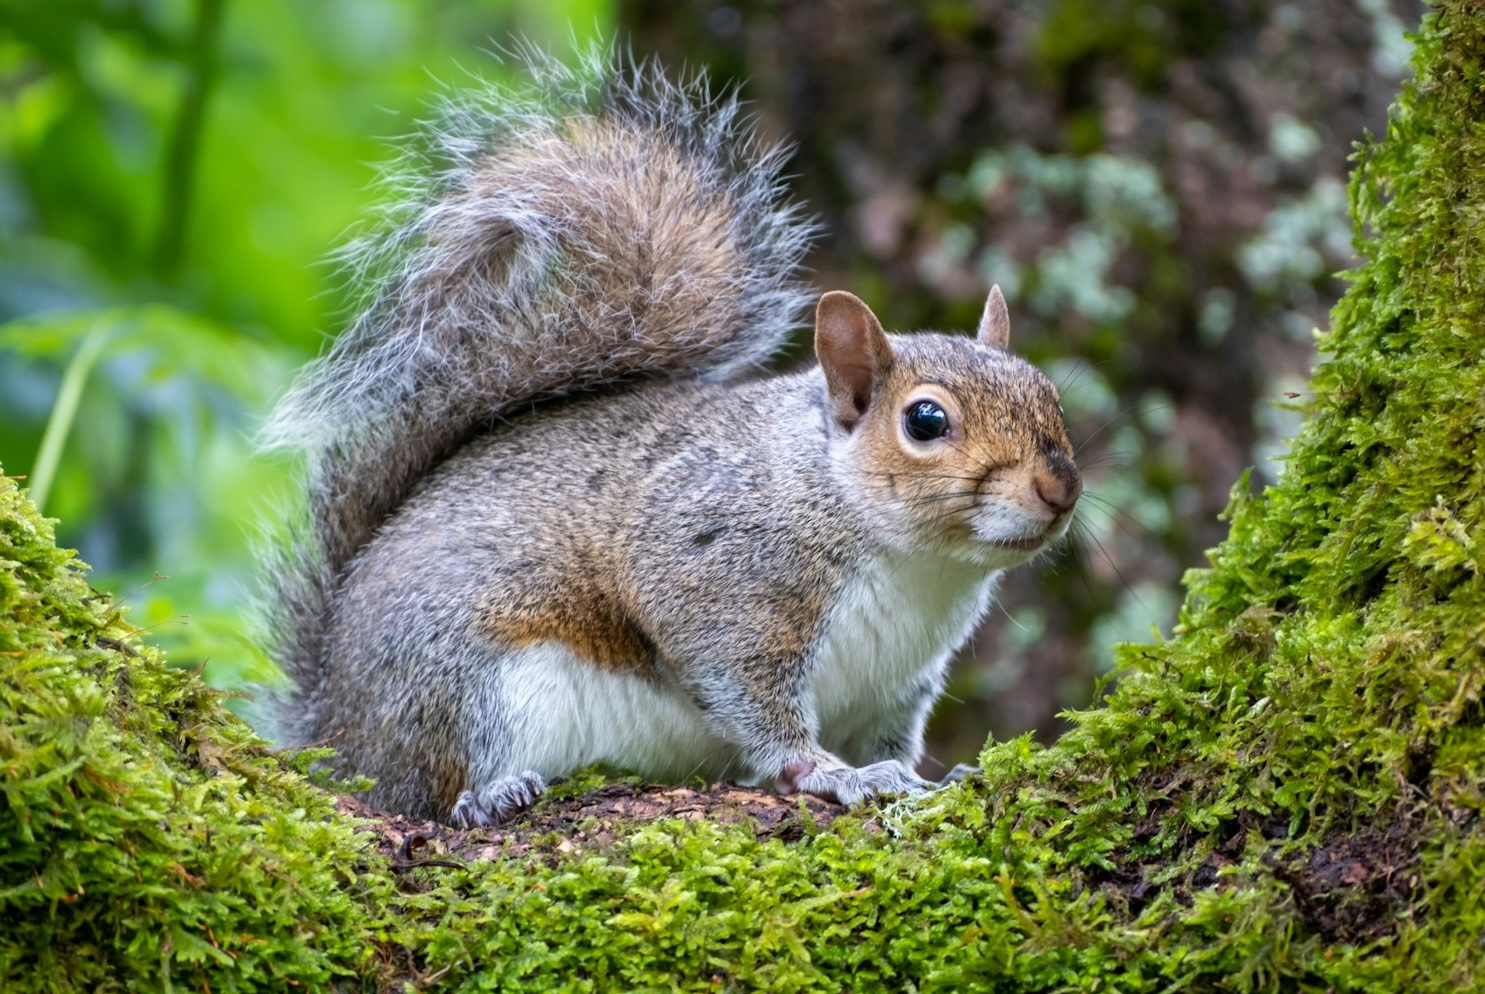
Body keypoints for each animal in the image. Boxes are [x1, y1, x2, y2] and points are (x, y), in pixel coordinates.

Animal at [260, 53, 1081, 828]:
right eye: (925, 421)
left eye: (1049, 394)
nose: (1060, 488)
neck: (915, 564)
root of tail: (335, 728)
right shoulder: (714, 576)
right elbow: (748, 696)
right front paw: (828, 773)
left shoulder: (897, 679)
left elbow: (892, 739)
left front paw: (932, 776)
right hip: (467, 683)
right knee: (435, 784)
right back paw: (487, 795)